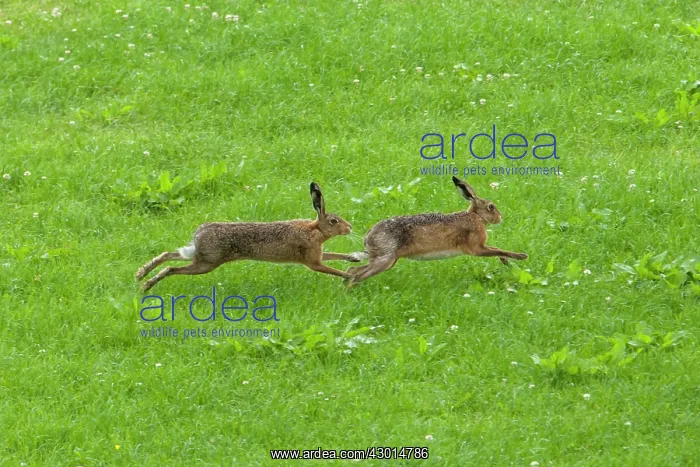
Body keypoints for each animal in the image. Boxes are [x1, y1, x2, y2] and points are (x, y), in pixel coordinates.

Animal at [136, 182, 362, 291]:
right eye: (333, 221)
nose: (349, 228)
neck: (315, 229)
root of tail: (199, 233)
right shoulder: (312, 261)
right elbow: (331, 269)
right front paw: (351, 277)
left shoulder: (316, 254)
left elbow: (335, 256)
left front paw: (354, 258)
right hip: (207, 263)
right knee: (171, 268)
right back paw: (146, 285)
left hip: (199, 256)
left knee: (169, 254)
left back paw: (140, 274)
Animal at [345, 175, 528, 286]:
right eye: (491, 207)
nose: (500, 217)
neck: (476, 216)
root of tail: (368, 237)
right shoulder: (476, 248)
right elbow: (497, 249)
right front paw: (521, 256)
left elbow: (497, 249)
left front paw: (506, 261)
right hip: (386, 259)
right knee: (357, 274)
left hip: (387, 260)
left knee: (352, 270)